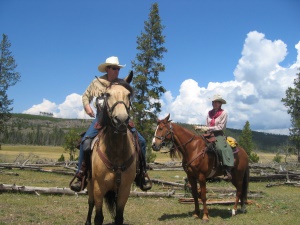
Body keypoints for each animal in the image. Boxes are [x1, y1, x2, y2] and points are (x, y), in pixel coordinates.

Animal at [84, 72, 136, 225]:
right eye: (107, 94)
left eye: (128, 94)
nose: (122, 120)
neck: (116, 152)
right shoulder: (98, 188)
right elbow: (98, 217)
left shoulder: (124, 189)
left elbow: (119, 217)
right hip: (90, 184)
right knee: (90, 203)